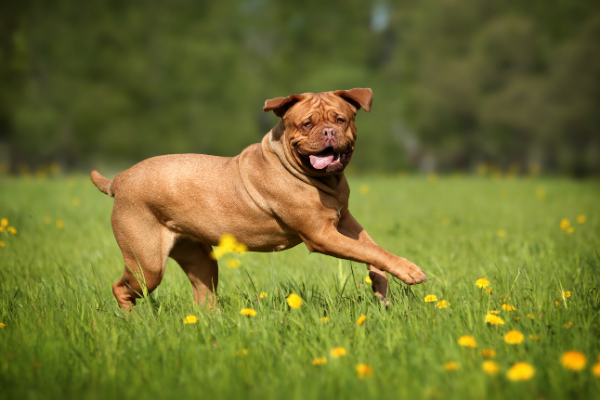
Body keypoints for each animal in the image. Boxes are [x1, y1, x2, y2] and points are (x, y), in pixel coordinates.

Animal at [90, 88, 426, 310]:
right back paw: (133, 321)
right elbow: (369, 251)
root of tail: (119, 180)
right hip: (146, 264)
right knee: (121, 289)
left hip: (199, 259)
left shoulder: (345, 222)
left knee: (203, 296)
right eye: (306, 124)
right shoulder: (322, 235)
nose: (329, 132)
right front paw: (410, 271)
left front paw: (382, 289)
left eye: (341, 119)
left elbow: (374, 250)